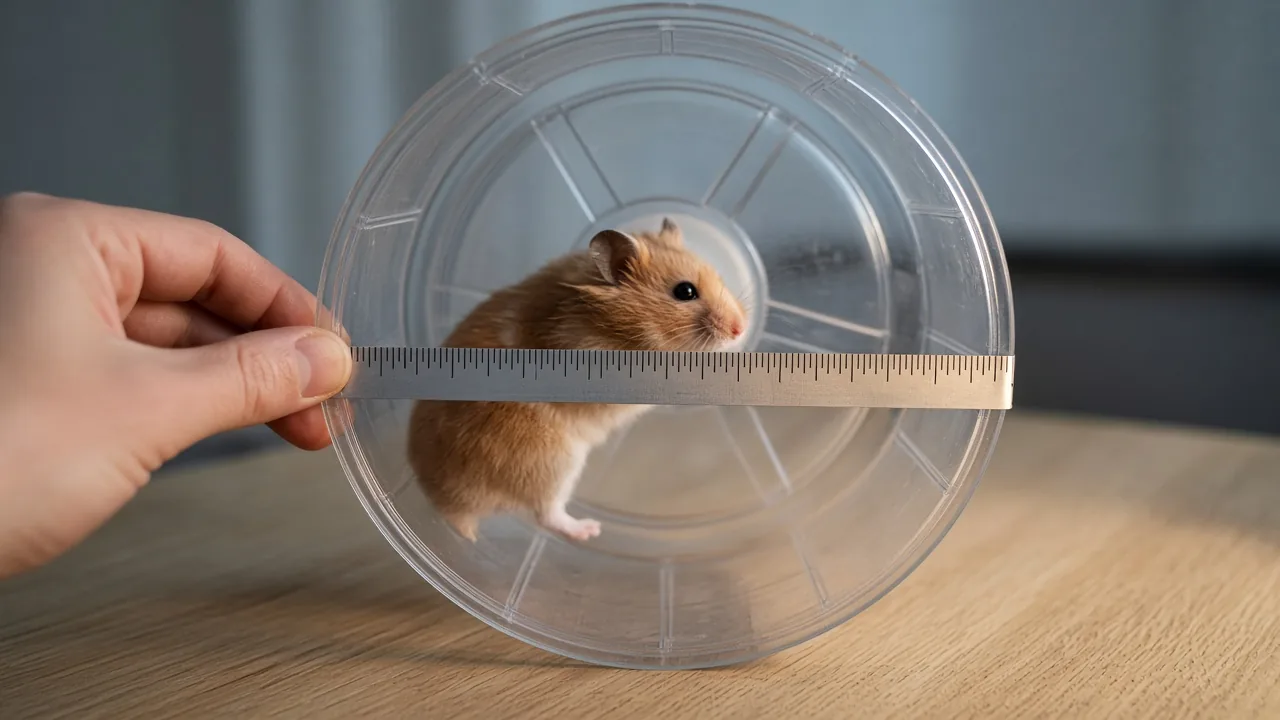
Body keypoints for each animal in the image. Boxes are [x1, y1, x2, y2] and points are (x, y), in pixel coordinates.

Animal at [407, 218, 748, 543]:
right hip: (549, 464)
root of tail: (446, 504)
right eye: (685, 292)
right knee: (546, 515)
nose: (740, 329)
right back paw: (589, 529)